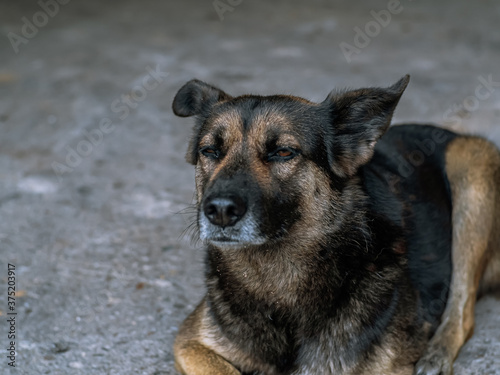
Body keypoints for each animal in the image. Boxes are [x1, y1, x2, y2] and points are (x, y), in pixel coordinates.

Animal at [171, 75, 500, 374]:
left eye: (283, 152)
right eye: (209, 151)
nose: (220, 211)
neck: (277, 281)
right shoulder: (189, 343)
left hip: (472, 167)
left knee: (462, 310)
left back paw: (436, 356)